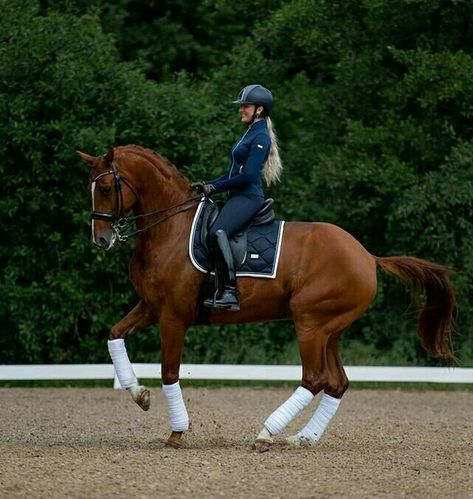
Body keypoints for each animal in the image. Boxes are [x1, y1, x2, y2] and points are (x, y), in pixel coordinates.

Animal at [78, 146, 458, 454]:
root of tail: (367, 256)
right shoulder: (151, 307)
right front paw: (138, 394)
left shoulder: (174, 315)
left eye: (107, 188)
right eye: (91, 188)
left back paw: (266, 434)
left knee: (315, 379)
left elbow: (168, 371)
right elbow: (114, 335)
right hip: (330, 331)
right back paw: (302, 439)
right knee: (336, 383)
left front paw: (177, 432)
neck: (170, 228)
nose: (101, 239)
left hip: (310, 324)